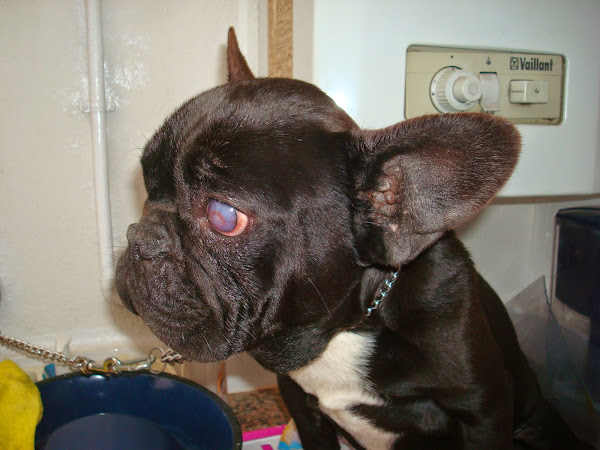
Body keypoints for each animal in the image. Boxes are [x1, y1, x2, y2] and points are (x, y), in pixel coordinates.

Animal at [116, 29, 589, 449]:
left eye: (223, 216)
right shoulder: (301, 406)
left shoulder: (484, 412)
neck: (348, 327)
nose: (140, 237)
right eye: (146, 185)